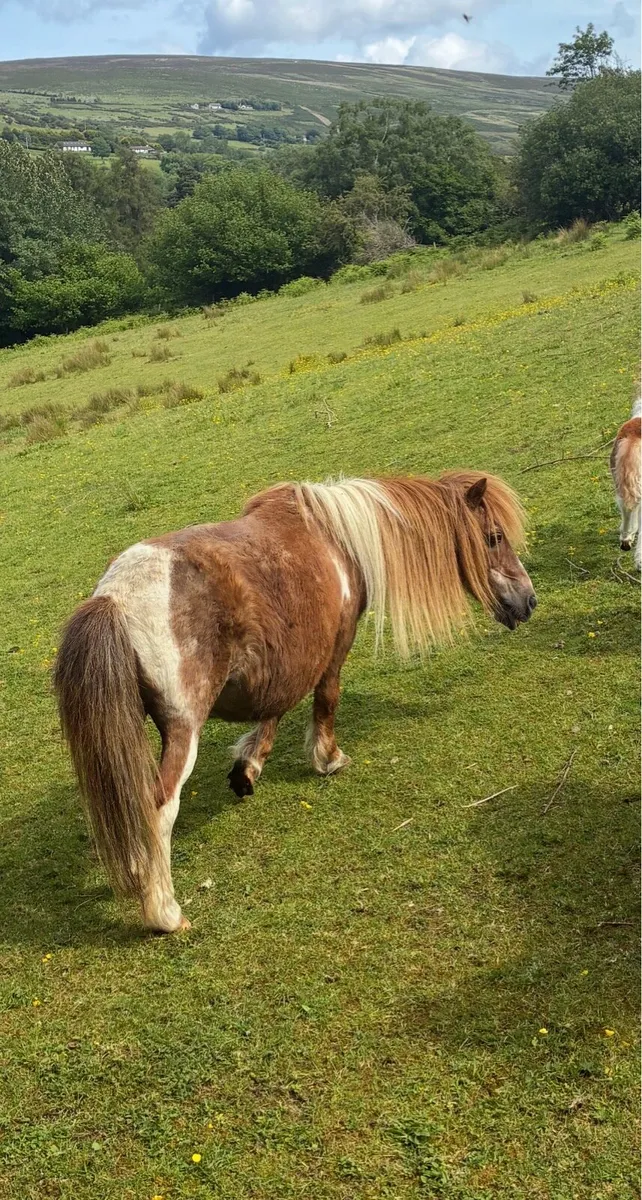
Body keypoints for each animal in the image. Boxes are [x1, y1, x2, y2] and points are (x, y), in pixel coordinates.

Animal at [54, 470, 537, 933]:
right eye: (494, 536)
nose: (528, 600)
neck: (338, 539)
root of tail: (115, 597)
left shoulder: (286, 659)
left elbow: (276, 707)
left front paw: (247, 768)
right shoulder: (334, 646)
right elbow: (326, 698)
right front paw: (328, 757)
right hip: (182, 730)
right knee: (158, 809)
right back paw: (165, 914)